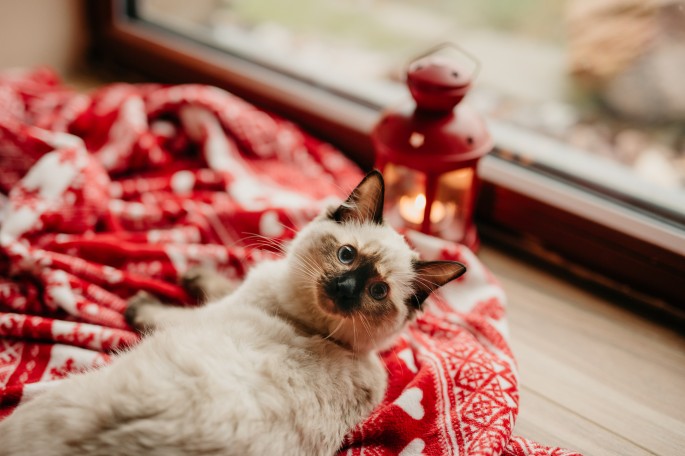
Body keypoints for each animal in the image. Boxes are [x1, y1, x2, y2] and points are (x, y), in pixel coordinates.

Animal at [0, 169, 464, 454]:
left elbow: (170, 309)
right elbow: (223, 280)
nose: (344, 290)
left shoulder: (210, 312)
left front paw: (152, 296)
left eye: (377, 290)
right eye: (346, 255)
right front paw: (195, 273)